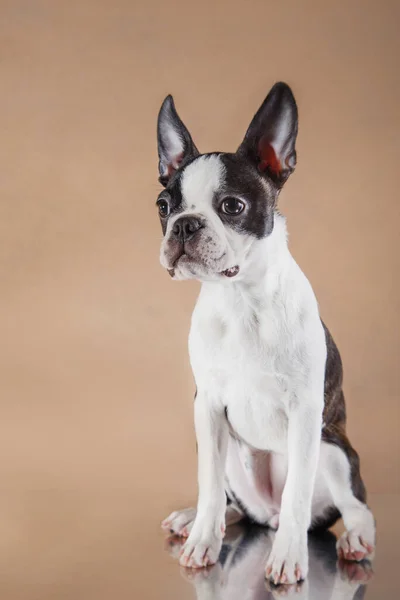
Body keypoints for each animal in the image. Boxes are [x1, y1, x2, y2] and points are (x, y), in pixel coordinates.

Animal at [155, 82, 376, 584]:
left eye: (232, 206)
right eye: (163, 207)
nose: (184, 224)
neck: (241, 301)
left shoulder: (305, 412)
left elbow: (296, 495)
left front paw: (289, 558)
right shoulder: (208, 407)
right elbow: (209, 484)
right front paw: (202, 539)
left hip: (333, 450)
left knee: (353, 507)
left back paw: (353, 539)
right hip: (234, 456)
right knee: (230, 502)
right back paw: (193, 519)